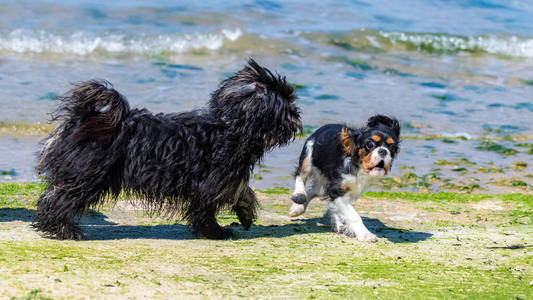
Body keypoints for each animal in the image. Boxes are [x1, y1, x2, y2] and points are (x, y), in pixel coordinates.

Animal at [33, 59, 302, 240]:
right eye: (287, 103)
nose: (298, 116)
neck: (232, 126)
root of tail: (81, 119)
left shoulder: (227, 178)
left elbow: (242, 192)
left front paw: (245, 213)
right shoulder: (210, 182)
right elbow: (206, 209)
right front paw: (215, 232)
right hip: (89, 175)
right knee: (59, 200)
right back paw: (63, 229)